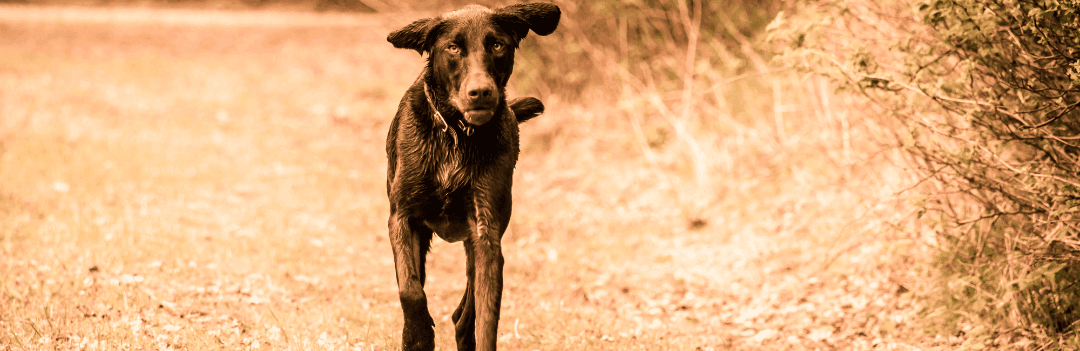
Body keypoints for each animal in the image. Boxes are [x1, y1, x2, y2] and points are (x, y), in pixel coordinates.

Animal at [384, 3, 561, 349]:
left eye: (497, 45)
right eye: (453, 48)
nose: (480, 93)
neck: (456, 133)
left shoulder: (486, 232)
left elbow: (486, 318)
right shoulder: (402, 218)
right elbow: (411, 291)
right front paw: (419, 335)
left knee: (465, 313)